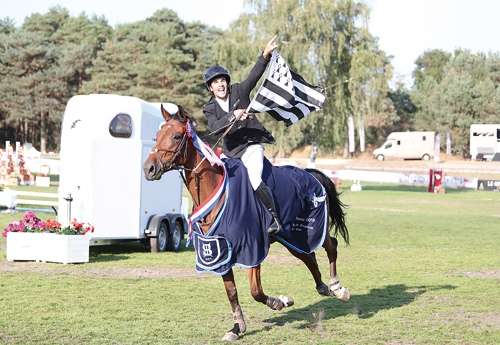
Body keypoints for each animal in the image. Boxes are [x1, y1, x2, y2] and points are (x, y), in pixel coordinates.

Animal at [143, 103, 350, 340]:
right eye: (158, 135)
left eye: (177, 136)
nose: (148, 168)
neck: (218, 193)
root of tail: (311, 173)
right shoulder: (220, 251)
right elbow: (232, 291)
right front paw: (237, 327)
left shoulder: (253, 247)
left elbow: (256, 291)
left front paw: (279, 302)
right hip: (292, 238)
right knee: (309, 258)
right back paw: (324, 288)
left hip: (312, 229)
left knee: (331, 246)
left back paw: (337, 288)